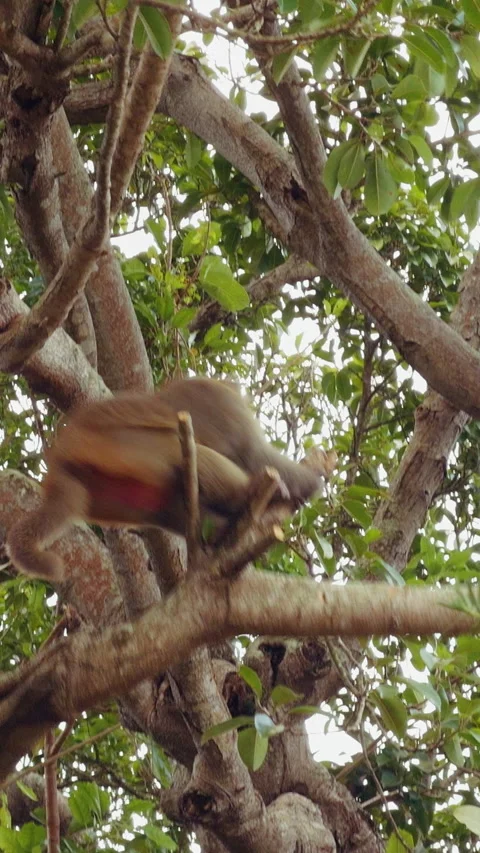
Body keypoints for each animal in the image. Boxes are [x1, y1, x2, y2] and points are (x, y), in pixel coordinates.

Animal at [7, 378, 337, 582]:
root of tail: (59, 460)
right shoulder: (223, 408)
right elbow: (257, 455)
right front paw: (313, 479)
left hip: (105, 493)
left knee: (164, 507)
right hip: (126, 447)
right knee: (180, 453)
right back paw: (247, 494)